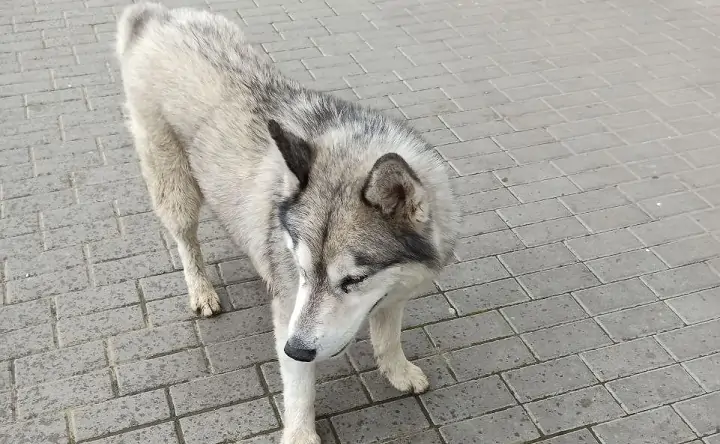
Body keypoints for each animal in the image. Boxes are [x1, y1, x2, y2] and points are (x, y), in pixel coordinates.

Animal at [115, 3, 459, 442]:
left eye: (354, 280)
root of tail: (158, 16)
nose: (296, 348)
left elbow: (387, 335)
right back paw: (201, 290)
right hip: (175, 186)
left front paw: (396, 370)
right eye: (302, 270)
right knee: (185, 238)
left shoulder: (393, 292)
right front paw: (299, 432)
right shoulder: (288, 311)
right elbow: (299, 389)